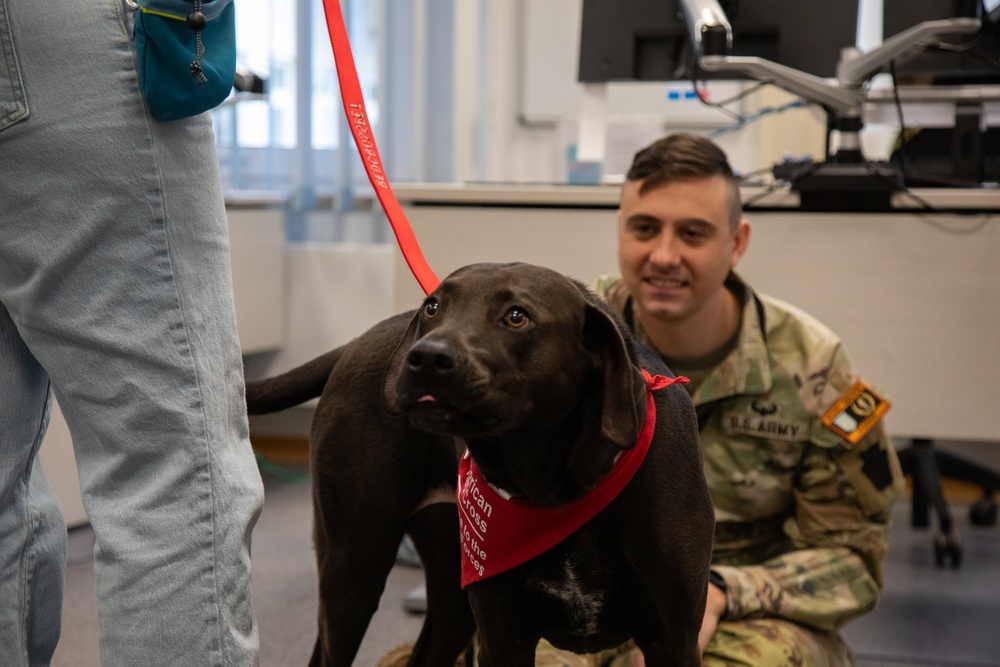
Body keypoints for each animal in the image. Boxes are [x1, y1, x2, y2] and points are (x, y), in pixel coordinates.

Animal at [246, 262, 716, 667]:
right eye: (434, 307)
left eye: (516, 316)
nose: (425, 357)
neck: (555, 491)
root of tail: (360, 339)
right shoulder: (503, 639)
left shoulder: (672, 641)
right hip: (353, 568)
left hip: (447, 599)